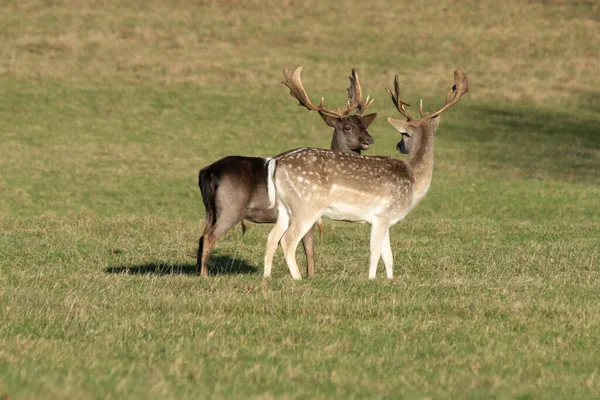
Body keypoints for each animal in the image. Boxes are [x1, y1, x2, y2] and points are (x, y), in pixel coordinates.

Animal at [197, 67, 376, 276]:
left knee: (201, 236)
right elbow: (309, 248)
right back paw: (204, 275)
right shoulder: (309, 212)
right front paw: (311, 275)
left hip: (210, 209)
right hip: (230, 208)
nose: (369, 139)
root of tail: (207, 172)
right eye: (347, 127)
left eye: (364, 125)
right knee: (209, 236)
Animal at [264, 70, 468, 280]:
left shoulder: (386, 220)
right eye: (404, 134)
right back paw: (297, 278)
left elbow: (389, 256)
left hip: (284, 207)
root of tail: (276, 162)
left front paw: (389, 280)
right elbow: (375, 251)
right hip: (307, 205)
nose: (399, 145)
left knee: (271, 237)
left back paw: (267, 276)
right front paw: (371, 279)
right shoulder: (382, 215)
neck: (413, 180)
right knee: (288, 240)